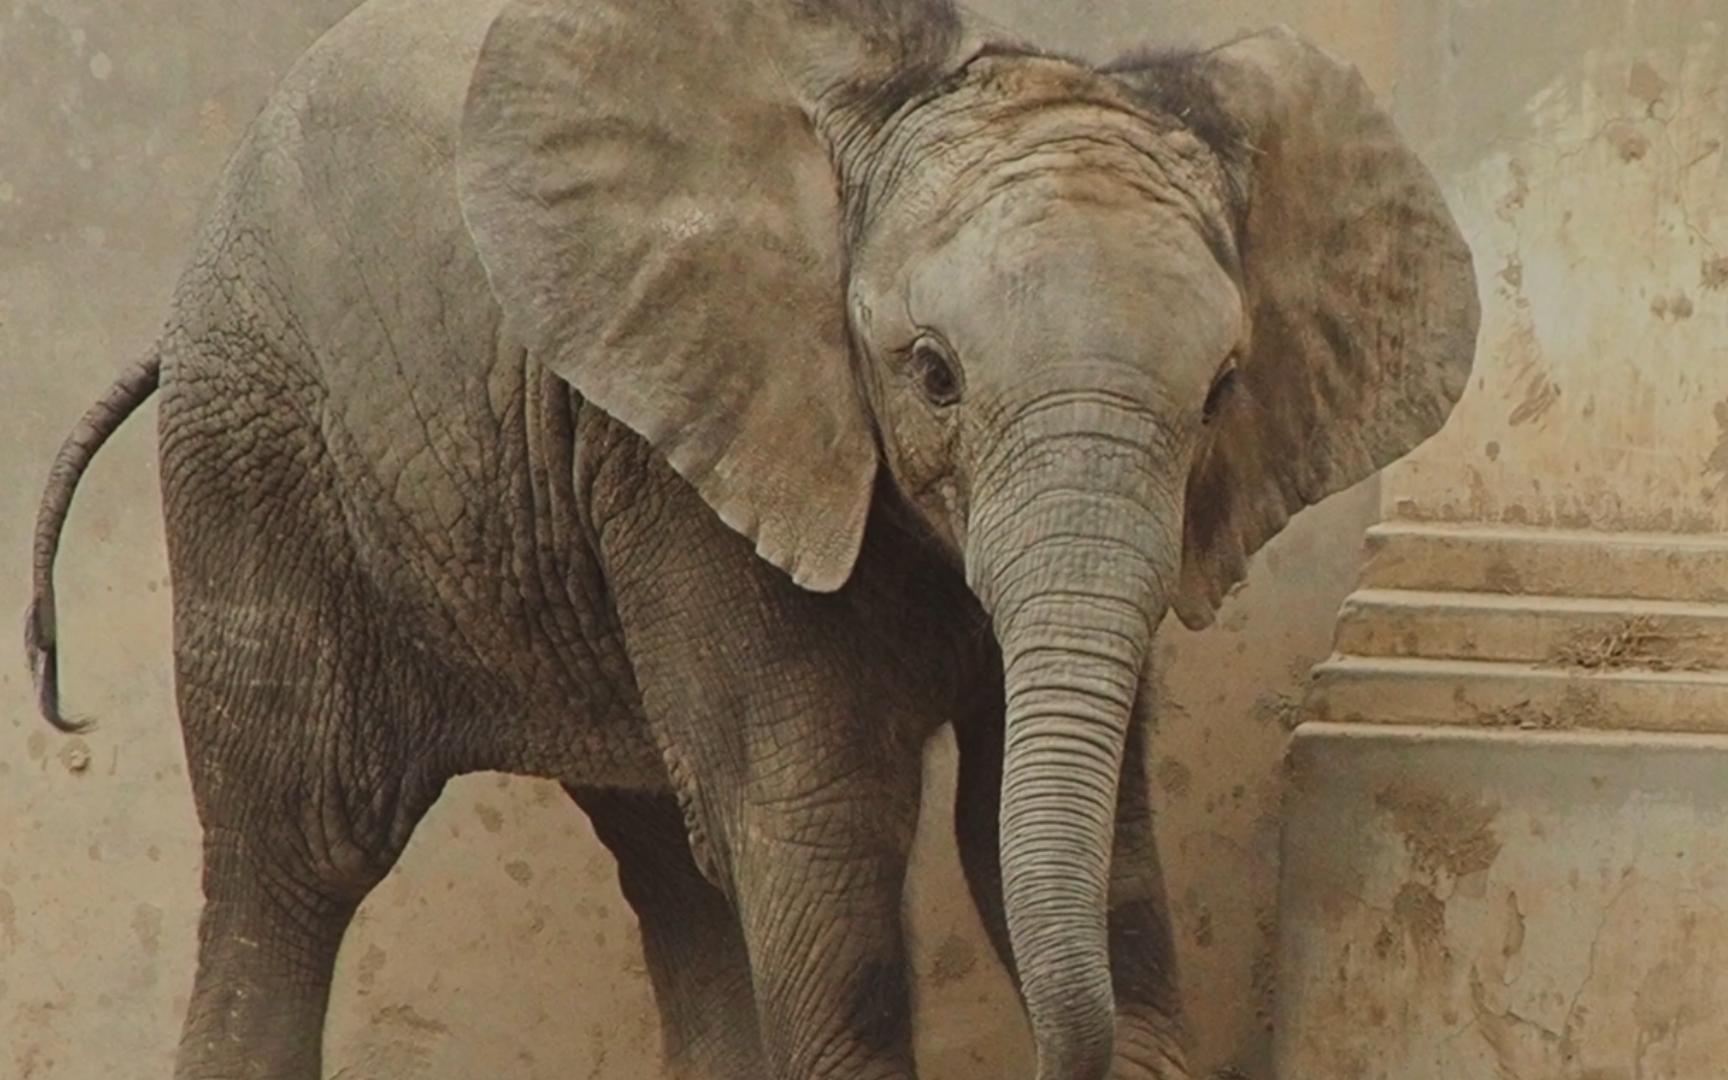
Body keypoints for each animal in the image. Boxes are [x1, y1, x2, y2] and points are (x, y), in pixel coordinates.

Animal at [23, 0, 1478, 1077]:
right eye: (932, 374)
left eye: (1225, 389)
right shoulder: (700, 441)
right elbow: (823, 834)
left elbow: (1072, 829)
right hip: (258, 448)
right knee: (297, 851)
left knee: (667, 857)